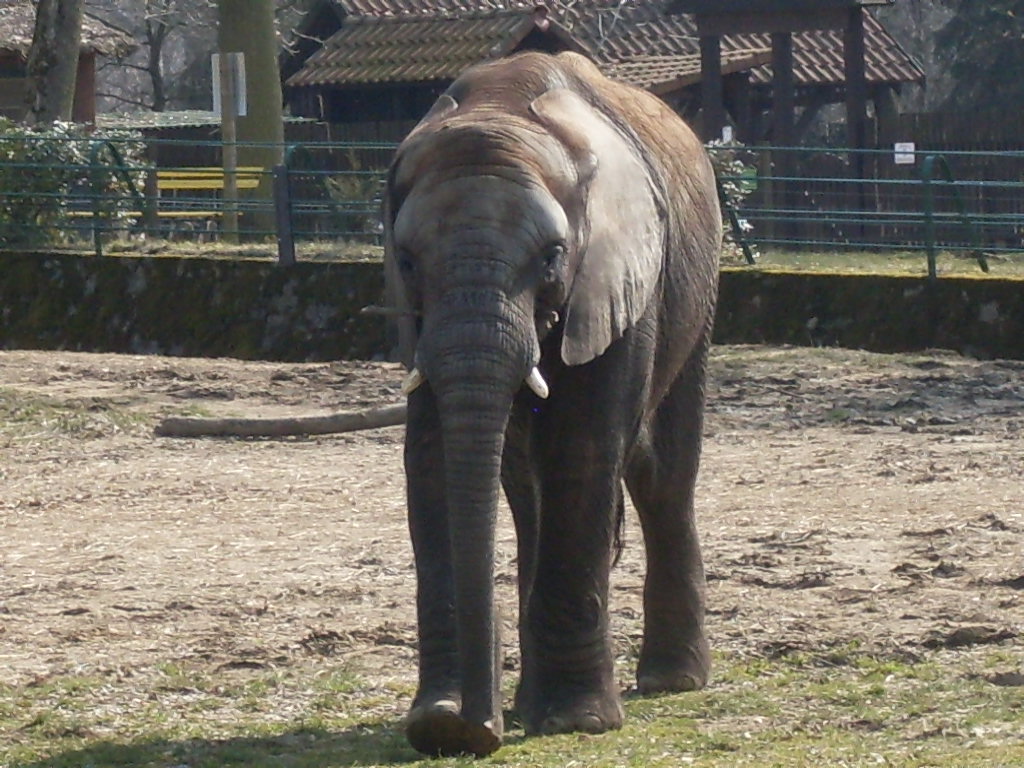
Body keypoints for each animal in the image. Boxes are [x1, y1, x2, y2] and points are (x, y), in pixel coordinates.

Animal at [383, 50, 721, 757]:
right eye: (406, 260)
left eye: (552, 258)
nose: (475, 729)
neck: (502, 106)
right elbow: (432, 455)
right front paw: (437, 720)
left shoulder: (618, 272)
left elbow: (586, 447)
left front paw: (576, 721)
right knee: (526, 485)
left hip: (697, 291)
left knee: (661, 472)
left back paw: (672, 681)